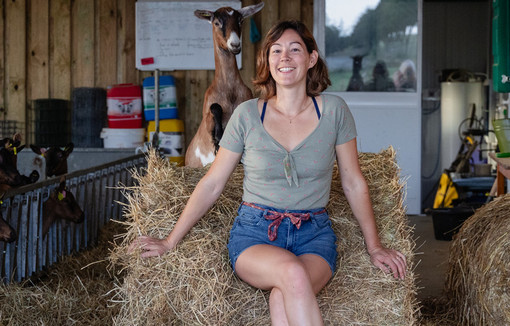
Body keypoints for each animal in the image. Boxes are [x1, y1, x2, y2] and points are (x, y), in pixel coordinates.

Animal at [184, 3, 262, 168]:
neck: (229, 91)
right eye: (216, 23)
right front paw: (219, 138)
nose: (235, 44)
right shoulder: (206, 120)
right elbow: (215, 108)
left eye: (240, 20)